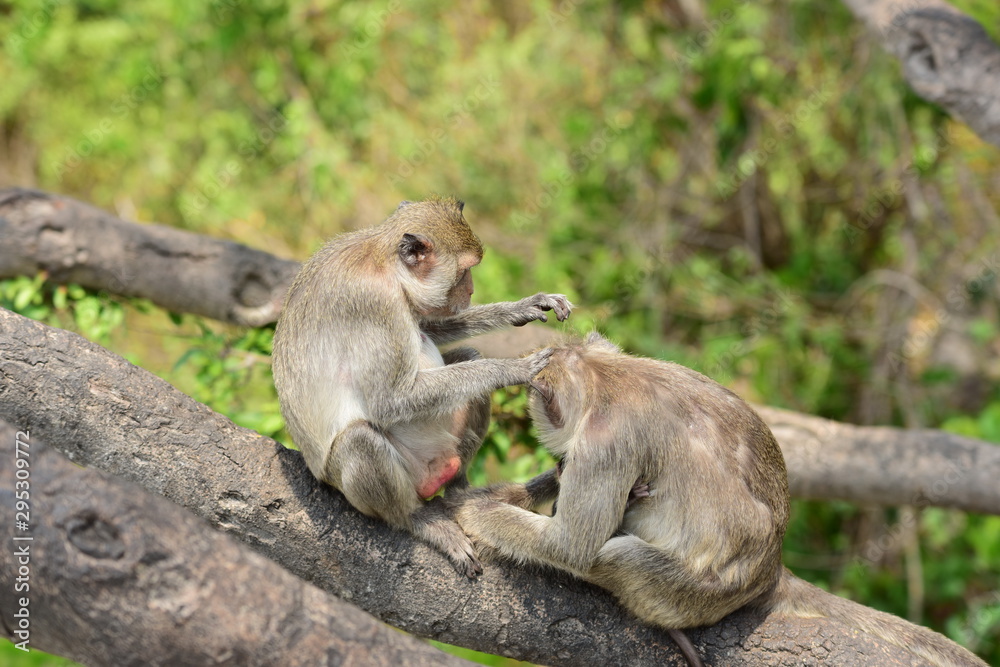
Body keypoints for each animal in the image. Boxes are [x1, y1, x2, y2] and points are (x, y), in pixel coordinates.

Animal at [272, 196, 572, 576]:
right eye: (465, 270)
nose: (471, 290)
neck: (384, 263)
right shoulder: (373, 304)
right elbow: (390, 401)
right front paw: (512, 369)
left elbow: (427, 325)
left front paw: (522, 307)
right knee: (360, 440)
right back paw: (416, 519)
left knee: (467, 359)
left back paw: (458, 493)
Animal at [456, 334, 992, 667]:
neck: (609, 375)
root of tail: (771, 570)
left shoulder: (603, 440)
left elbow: (572, 546)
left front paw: (475, 513)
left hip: (690, 593)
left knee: (618, 554)